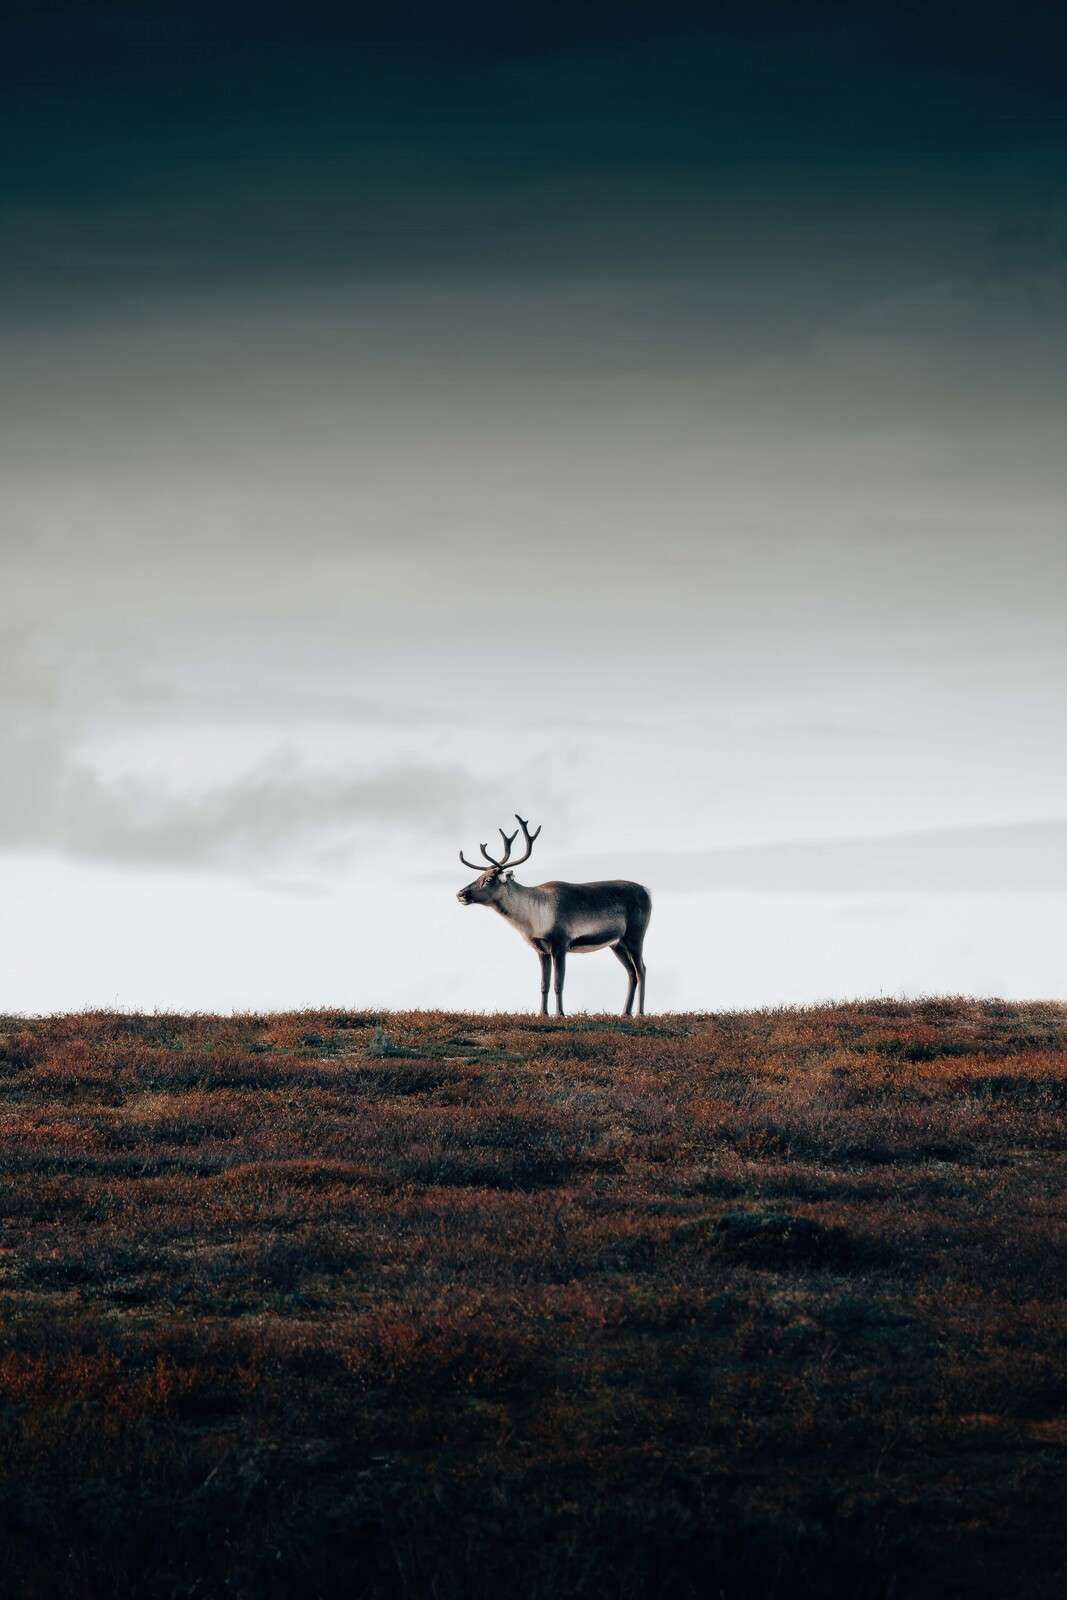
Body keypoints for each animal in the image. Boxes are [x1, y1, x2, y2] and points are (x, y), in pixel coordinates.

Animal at [456, 815, 651, 1017]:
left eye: (488, 880)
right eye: (478, 877)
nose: (461, 894)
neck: (532, 919)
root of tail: (647, 890)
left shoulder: (560, 943)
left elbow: (559, 983)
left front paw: (560, 1014)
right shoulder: (541, 949)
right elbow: (544, 984)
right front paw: (542, 1013)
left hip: (635, 935)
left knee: (641, 969)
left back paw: (640, 1013)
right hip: (617, 943)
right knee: (631, 973)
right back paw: (625, 1013)